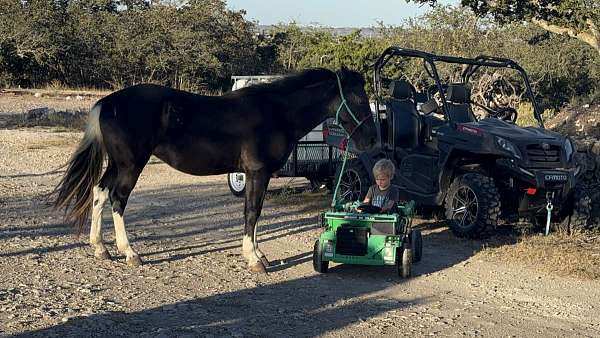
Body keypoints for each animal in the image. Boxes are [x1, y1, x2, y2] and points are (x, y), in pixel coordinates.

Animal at [54, 68, 378, 272]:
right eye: (359, 99)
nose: (372, 139)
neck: (276, 112)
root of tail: (107, 103)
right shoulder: (258, 172)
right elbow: (252, 212)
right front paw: (254, 259)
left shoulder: (255, 175)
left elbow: (254, 212)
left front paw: (259, 254)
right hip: (131, 165)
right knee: (118, 199)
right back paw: (130, 253)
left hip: (117, 163)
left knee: (99, 191)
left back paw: (101, 248)